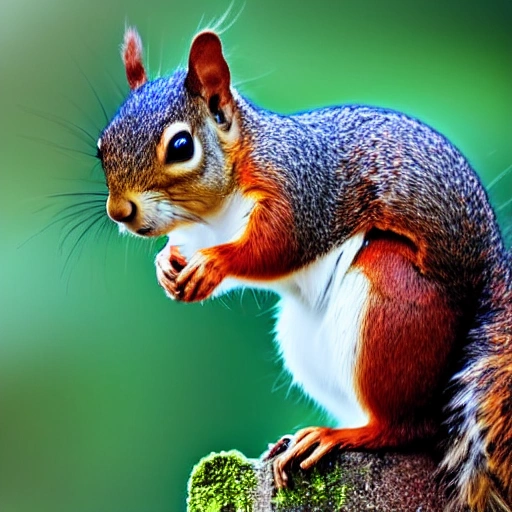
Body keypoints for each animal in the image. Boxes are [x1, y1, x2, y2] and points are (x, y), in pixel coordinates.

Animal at [97, 28, 512, 512]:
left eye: (181, 147)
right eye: (102, 148)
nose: (120, 212)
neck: (213, 214)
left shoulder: (299, 194)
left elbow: (277, 246)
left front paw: (215, 263)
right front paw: (167, 265)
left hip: (394, 303)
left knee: (409, 427)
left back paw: (340, 436)